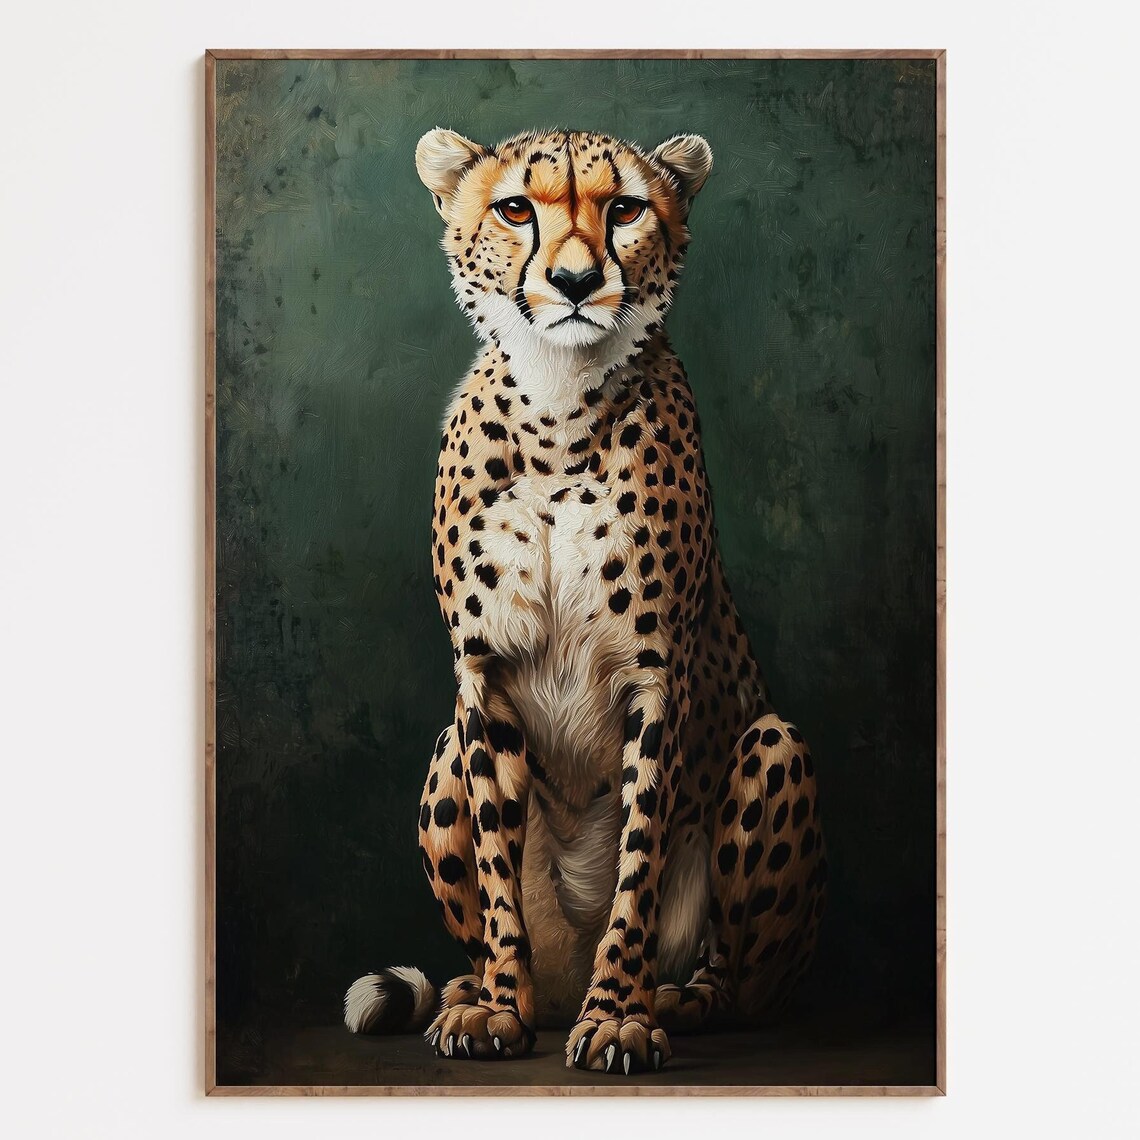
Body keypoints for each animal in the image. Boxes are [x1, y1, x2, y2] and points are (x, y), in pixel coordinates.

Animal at [344, 128, 826, 1076]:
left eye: (626, 208)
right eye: (514, 209)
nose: (572, 282)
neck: (559, 408)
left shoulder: (655, 680)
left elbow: (638, 863)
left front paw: (618, 1017)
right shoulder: (483, 680)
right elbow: (499, 870)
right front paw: (499, 1008)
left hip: (772, 746)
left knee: (744, 981)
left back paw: (677, 998)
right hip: (441, 757)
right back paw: (497, 992)